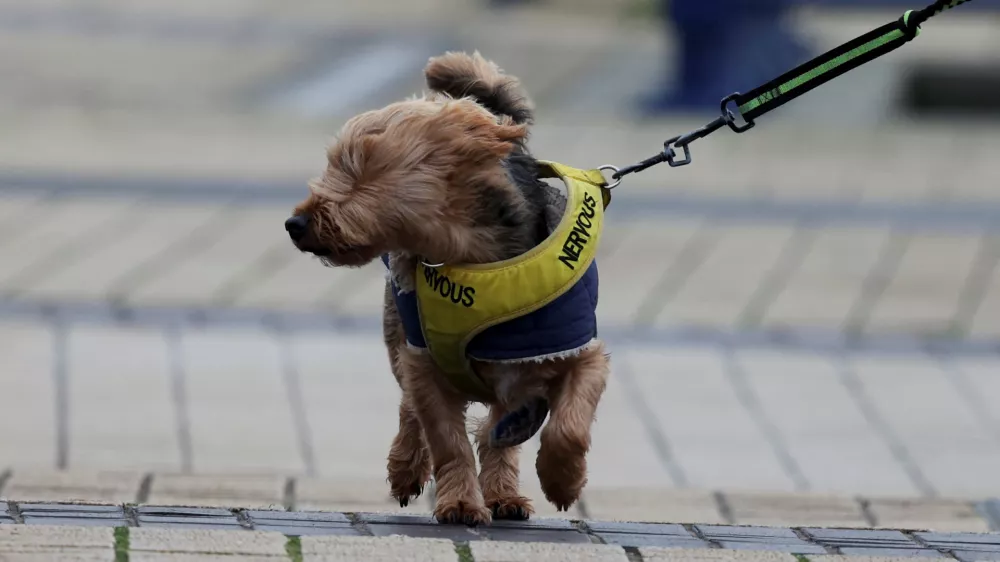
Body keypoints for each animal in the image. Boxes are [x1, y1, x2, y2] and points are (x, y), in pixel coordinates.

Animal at [282, 52, 608, 524]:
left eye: (363, 168)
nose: (295, 223)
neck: (472, 258)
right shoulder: (428, 367)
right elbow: (448, 441)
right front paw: (459, 502)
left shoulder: (579, 354)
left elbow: (569, 426)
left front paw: (562, 480)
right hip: (401, 339)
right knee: (411, 408)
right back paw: (406, 468)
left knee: (496, 430)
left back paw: (505, 493)